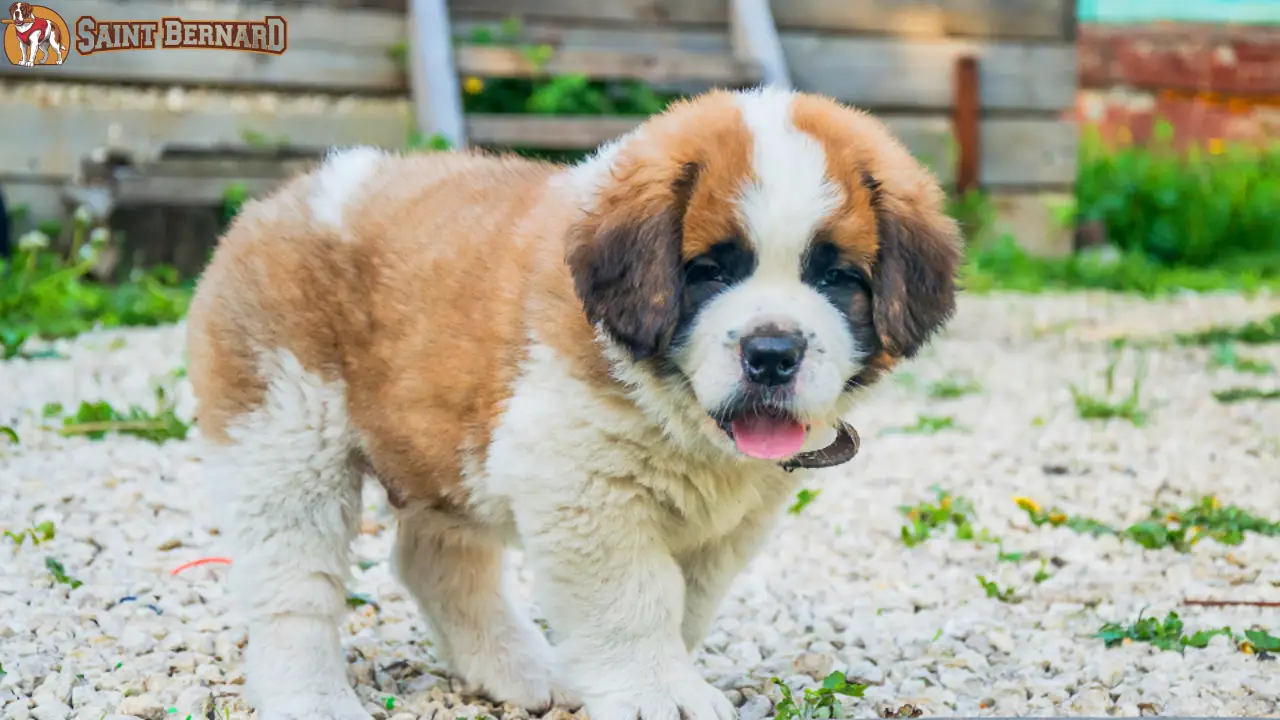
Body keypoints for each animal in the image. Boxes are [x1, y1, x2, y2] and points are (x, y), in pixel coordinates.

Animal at [183, 85, 962, 717]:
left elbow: (686, 602)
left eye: (836, 278)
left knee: (437, 563)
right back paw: (310, 698)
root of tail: (277, 202)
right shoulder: (582, 487)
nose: (772, 353)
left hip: (446, 446)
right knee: (293, 586)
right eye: (709, 270)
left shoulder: (729, 524)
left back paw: (524, 671)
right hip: (285, 435)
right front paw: (659, 693)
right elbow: (635, 600)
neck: (678, 417)